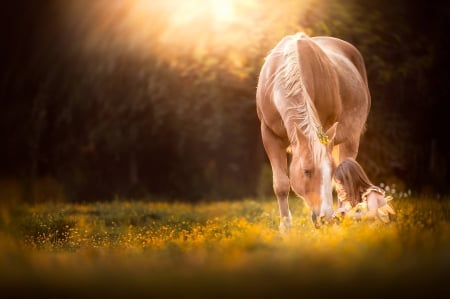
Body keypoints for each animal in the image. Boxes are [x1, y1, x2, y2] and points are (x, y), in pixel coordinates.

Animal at [255, 32, 370, 231]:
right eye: (307, 171)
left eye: (331, 171)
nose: (326, 218)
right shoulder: (269, 135)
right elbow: (281, 185)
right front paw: (285, 228)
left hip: (351, 139)